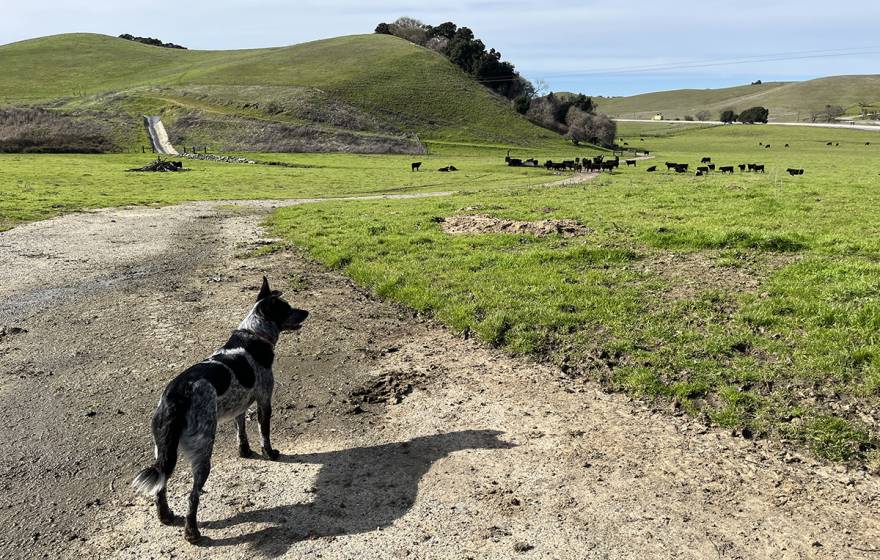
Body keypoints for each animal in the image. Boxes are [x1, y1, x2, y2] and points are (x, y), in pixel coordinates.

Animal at [131, 276, 310, 544]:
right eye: (287, 308)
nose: (307, 312)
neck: (253, 334)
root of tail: (177, 395)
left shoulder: (240, 405)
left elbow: (241, 430)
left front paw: (245, 452)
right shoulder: (264, 400)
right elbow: (264, 433)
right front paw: (270, 453)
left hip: (163, 448)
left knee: (161, 486)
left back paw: (166, 516)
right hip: (203, 450)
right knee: (192, 495)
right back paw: (192, 532)